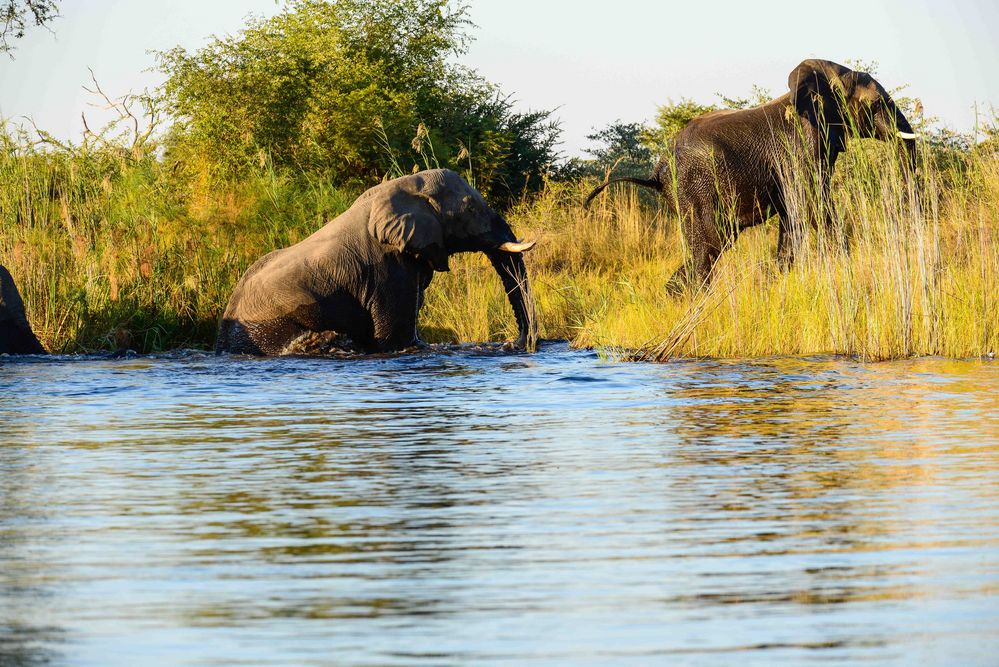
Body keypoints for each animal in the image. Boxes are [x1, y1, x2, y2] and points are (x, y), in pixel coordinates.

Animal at [215, 168, 536, 354]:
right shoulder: (386, 266)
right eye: (470, 210)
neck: (403, 187)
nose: (514, 343)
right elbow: (395, 336)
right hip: (269, 326)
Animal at [584, 58, 920, 286]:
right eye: (876, 105)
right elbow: (811, 205)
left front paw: (780, 280)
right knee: (708, 248)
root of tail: (657, 169)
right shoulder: (799, 148)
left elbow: (792, 216)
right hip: (695, 188)